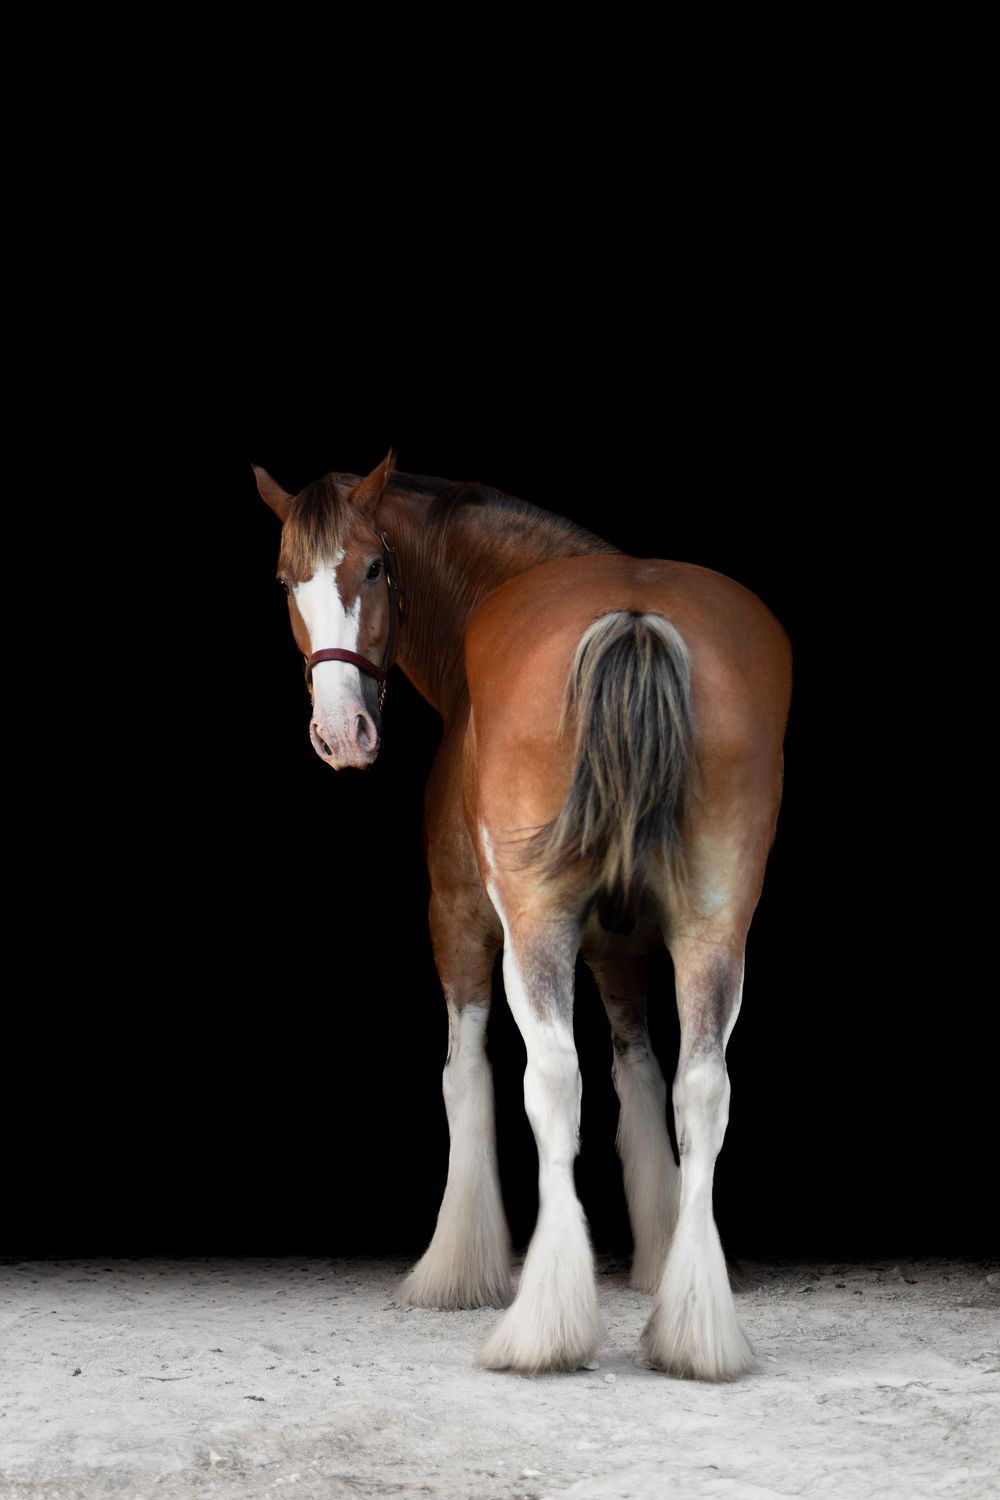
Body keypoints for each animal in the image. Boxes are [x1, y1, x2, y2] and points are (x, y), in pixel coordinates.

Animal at [253, 451, 792, 1380]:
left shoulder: (461, 918)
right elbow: (639, 1072)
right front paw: (657, 1257)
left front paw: (455, 1268)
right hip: (714, 928)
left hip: (534, 925)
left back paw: (543, 1325)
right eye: (291, 581)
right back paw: (696, 1330)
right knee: (703, 1087)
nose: (343, 732)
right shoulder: (620, 946)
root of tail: (635, 617)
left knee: (553, 1081)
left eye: (375, 567)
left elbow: (464, 1074)